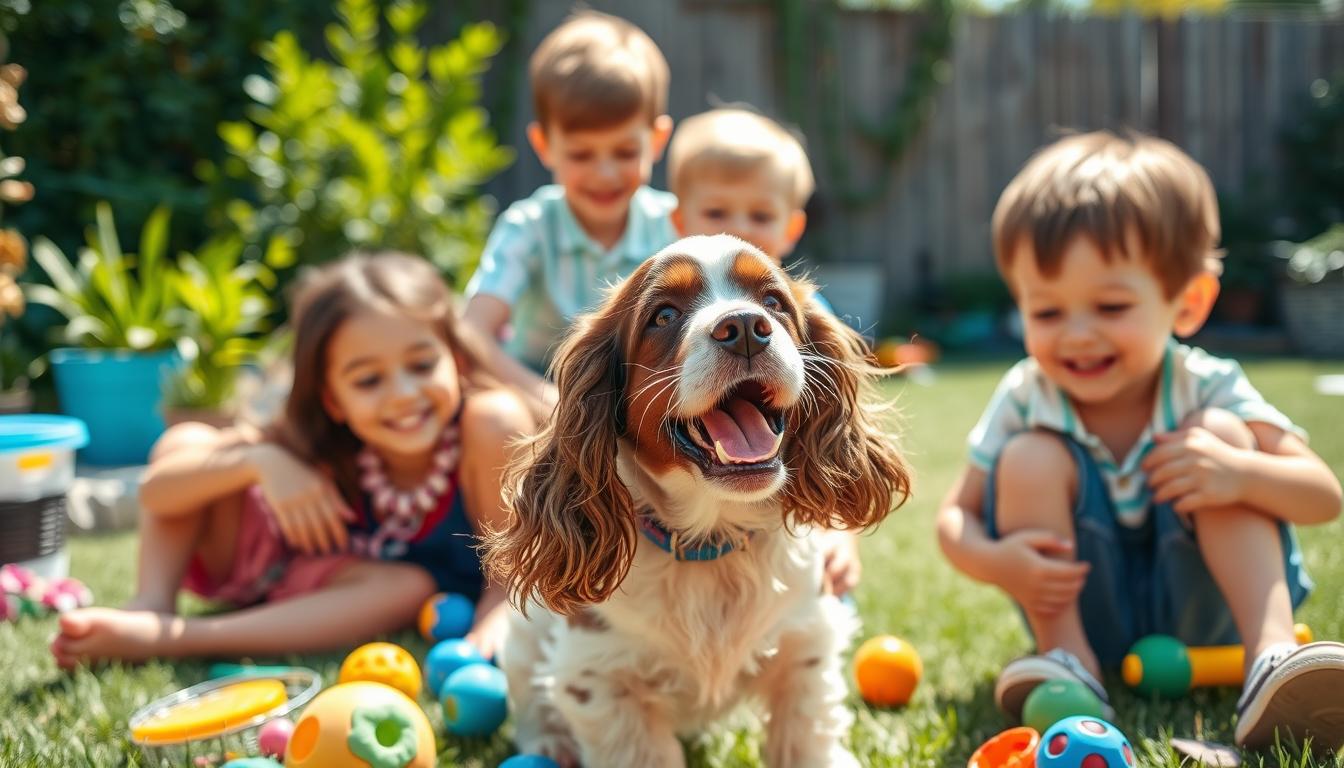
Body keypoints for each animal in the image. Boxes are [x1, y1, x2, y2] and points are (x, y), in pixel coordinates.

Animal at [483, 235, 913, 768]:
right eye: (664, 315)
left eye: (774, 302)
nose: (745, 327)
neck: (712, 537)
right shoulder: (600, 680)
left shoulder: (805, 650)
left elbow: (807, 738)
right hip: (521, 646)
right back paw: (549, 743)